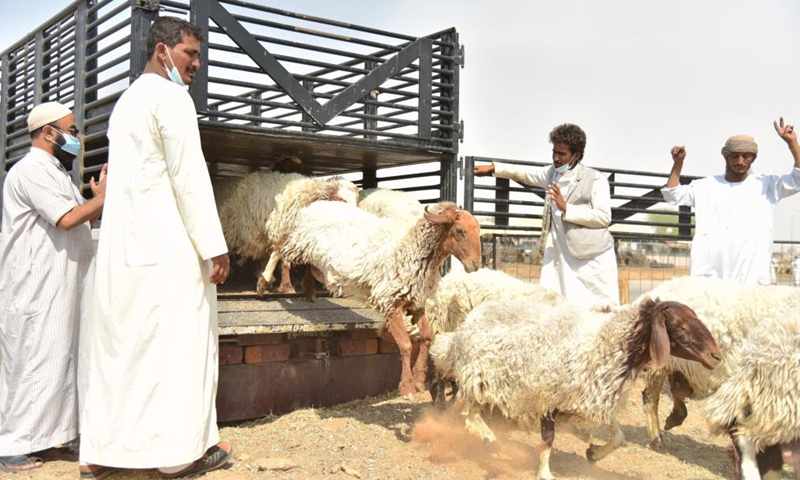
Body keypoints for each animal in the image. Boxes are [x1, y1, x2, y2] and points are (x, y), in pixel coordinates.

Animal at [434, 296, 720, 480]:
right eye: (679, 326)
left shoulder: (596, 396)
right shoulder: (548, 398)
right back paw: (488, 439)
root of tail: (463, 327)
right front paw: (545, 473)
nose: (716, 355)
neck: (607, 343)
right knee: (469, 415)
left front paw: (594, 453)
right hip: (479, 378)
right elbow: (548, 440)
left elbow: (619, 437)